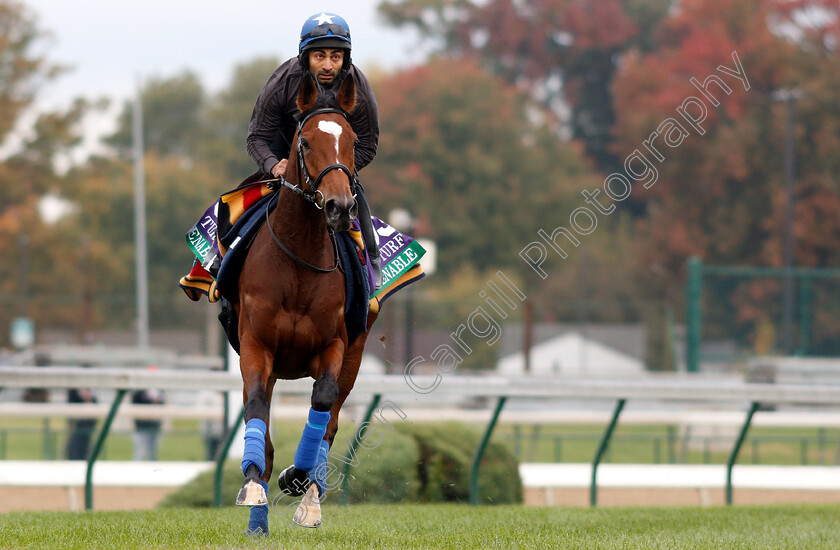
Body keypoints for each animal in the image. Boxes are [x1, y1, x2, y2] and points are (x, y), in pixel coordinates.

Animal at [233, 73, 378, 536]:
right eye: (307, 142)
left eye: (352, 140)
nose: (340, 206)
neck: (298, 258)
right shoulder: (256, 346)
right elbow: (257, 410)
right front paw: (254, 490)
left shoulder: (335, 346)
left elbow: (322, 404)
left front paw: (298, 483)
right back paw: (258, 518)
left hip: (354, 356)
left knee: (330, 424)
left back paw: (309, 497)